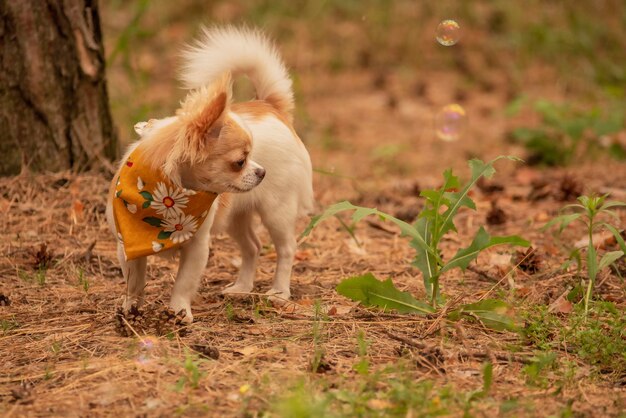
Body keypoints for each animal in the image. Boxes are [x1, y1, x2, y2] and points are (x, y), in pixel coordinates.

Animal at [107, 27, 314, 322]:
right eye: (240, 162)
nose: (262, 171)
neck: (165, 196)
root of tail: (270, 106)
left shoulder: (197, 248)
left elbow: (183, 282)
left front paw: (179, 311)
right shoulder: (127, 245)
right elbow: (134, 280)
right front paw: (131, 308)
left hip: (277, 212)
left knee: (286, 249)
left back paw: (279, 293)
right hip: (235, 216)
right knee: (252, 246)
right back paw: (241, 288)